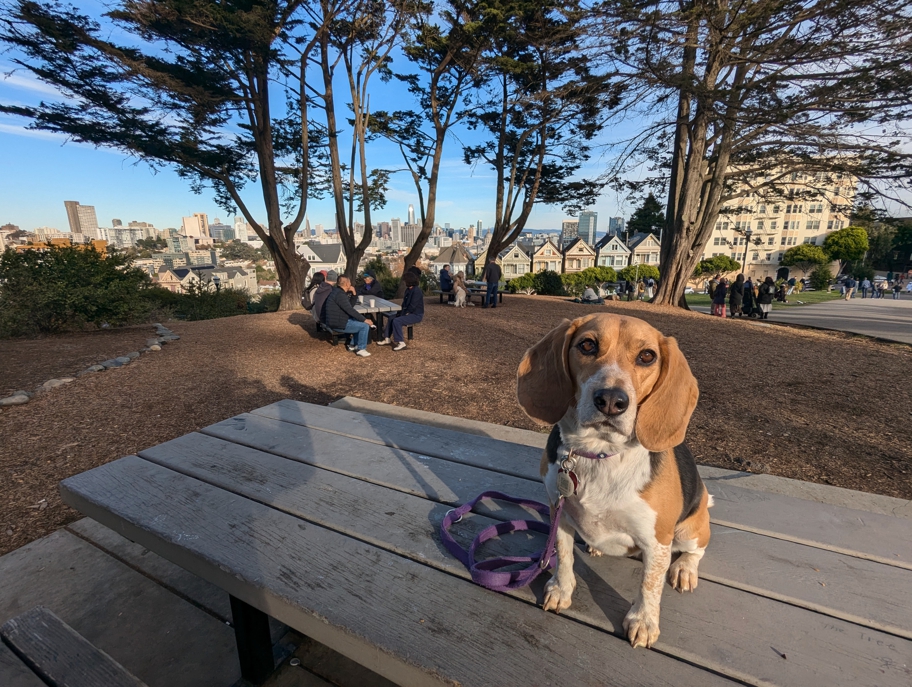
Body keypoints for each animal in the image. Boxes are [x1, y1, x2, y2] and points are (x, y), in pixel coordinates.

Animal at [516, 314, 708, 648]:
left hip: (689, 530)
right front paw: (560, 589)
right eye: (587, 345)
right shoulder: (559, 511)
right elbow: (563, 555)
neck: (600, 453)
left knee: (696, 551)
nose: (610, 399)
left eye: (647, 356)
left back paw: (684, 569)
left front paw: (644, 621)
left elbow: (650, 584)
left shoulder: (658, 540)